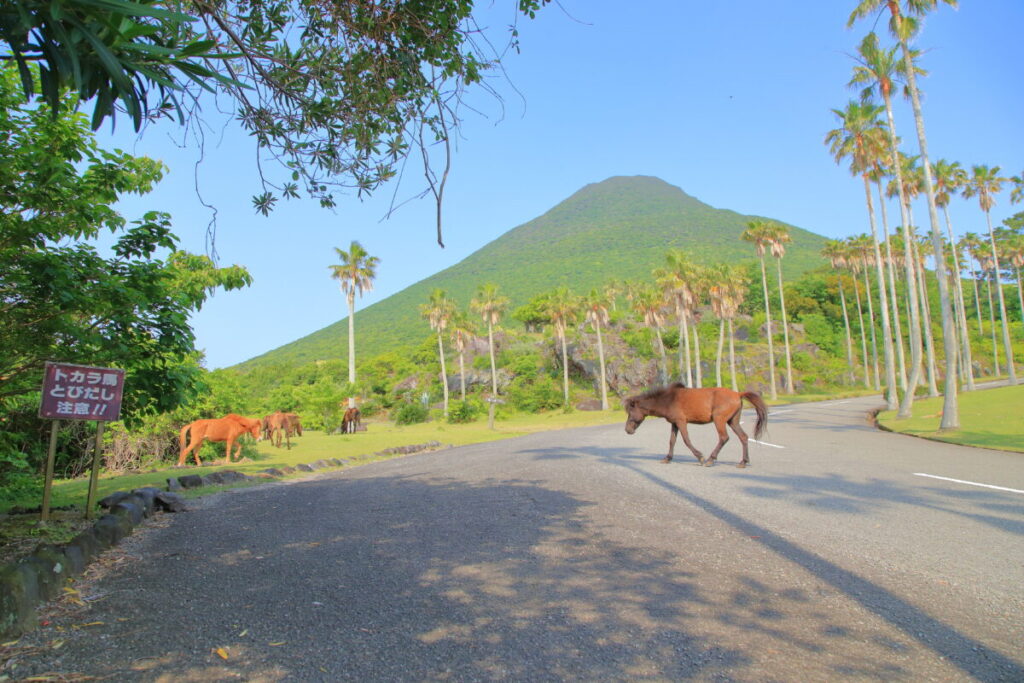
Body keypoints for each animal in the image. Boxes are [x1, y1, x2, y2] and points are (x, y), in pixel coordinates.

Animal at [624, 383, 768, 468]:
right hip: (733, 421)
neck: (668, 399)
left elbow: (686, 440)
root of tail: (738, 394)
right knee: (743, 437)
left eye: (630, 412)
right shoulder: (675, 423)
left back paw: (710, 459)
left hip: (719, 420)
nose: (627, 430)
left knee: (724, 437)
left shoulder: (681, 422)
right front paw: (667, 458)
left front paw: (700, 457)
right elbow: (672, 441)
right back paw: (743, 462)